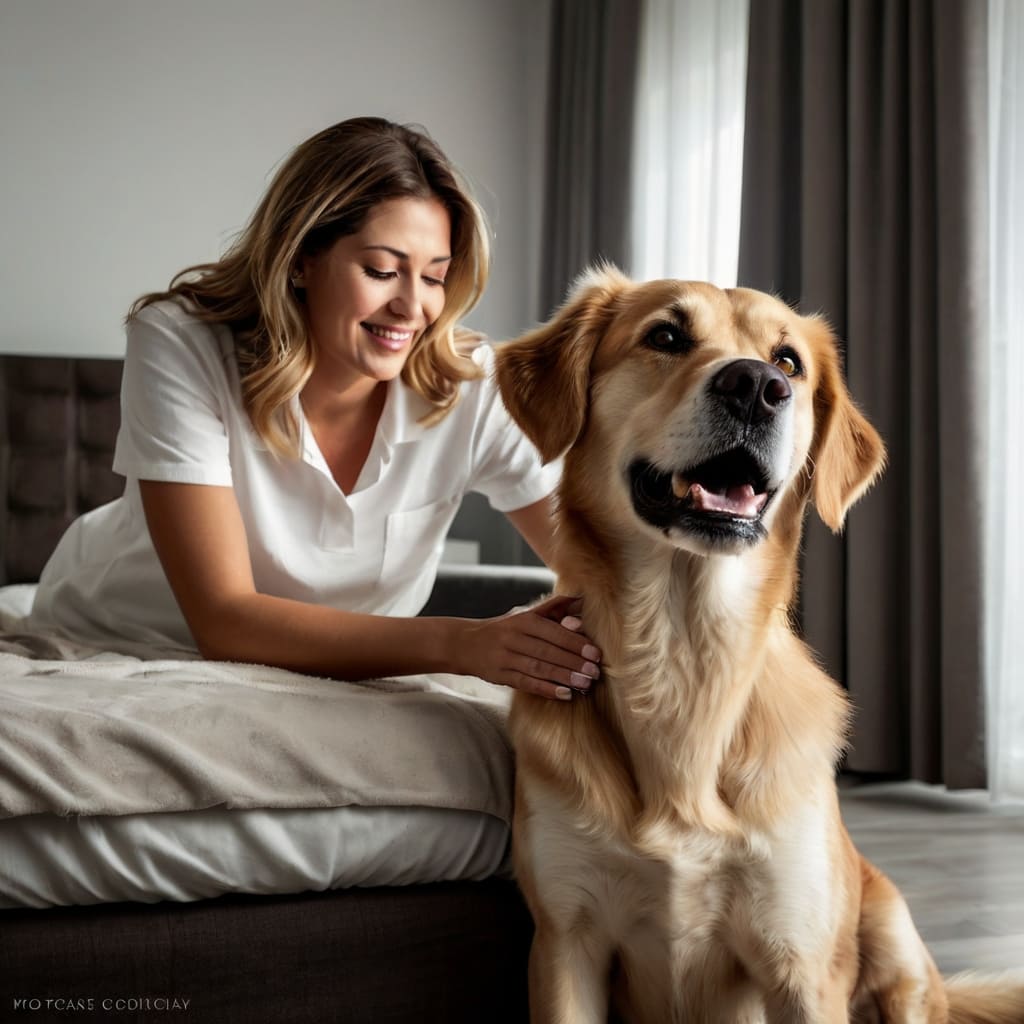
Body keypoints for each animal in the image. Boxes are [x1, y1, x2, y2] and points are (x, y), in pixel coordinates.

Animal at [495, 266, 1024, 1024]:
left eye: (789, 363)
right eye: (665, 336)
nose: (755, 386)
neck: (685, 658)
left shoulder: (798, 960)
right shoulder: (567, 943)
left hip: (892, 939)